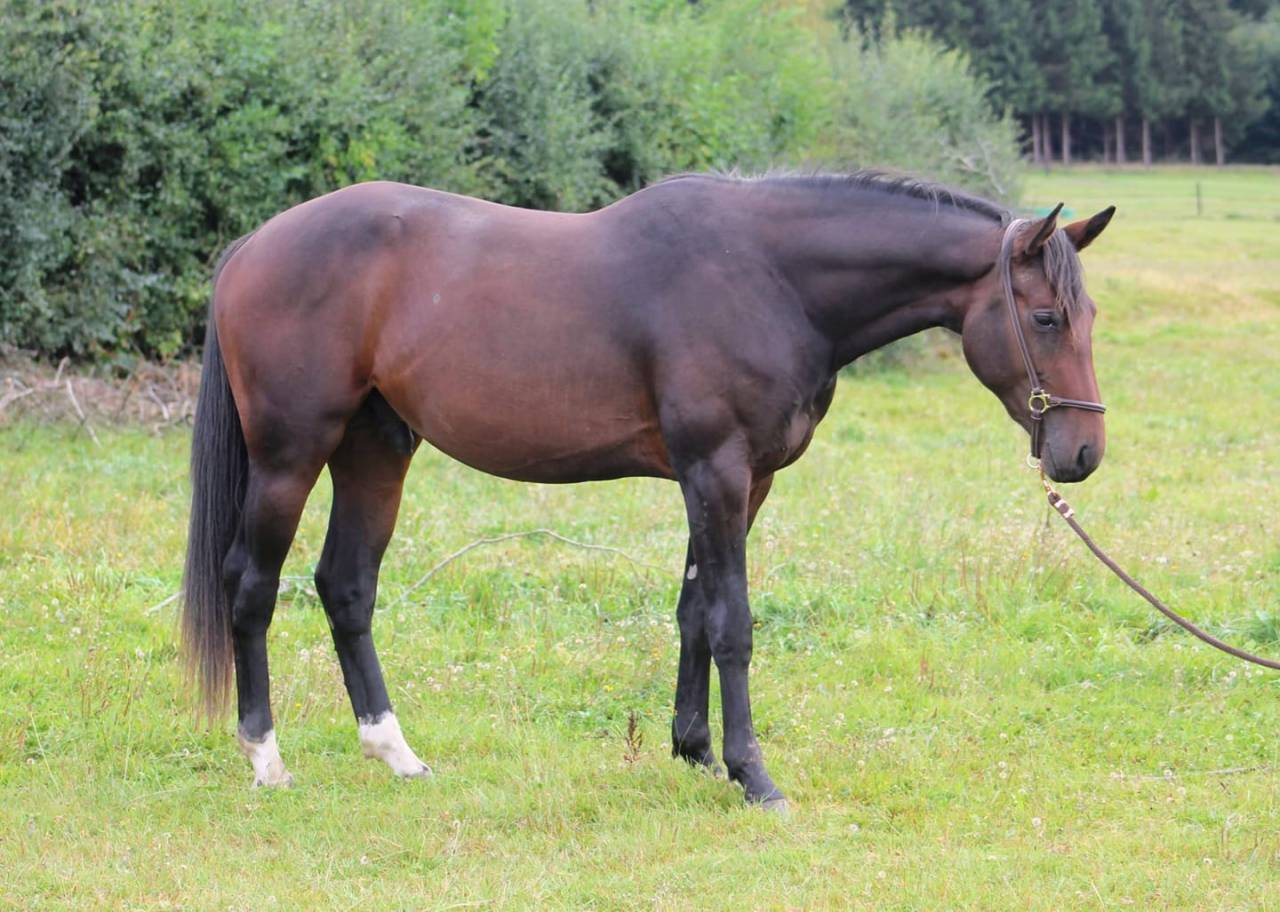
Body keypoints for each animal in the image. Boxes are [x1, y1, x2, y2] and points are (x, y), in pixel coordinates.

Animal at [182, 171, 1114, 809]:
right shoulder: (717, 470)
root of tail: (251, 249)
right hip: (291, 455)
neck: (769, 278)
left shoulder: (743, 482)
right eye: (1044, 318)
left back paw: (395, 752)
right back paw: (266, 758)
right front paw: (753, 774)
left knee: (346, 587)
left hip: (375, 450)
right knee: (251, 588)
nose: (1082, 453)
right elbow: (733, 622)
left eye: (1090, 317)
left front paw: (694, 749)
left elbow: (694, 609)